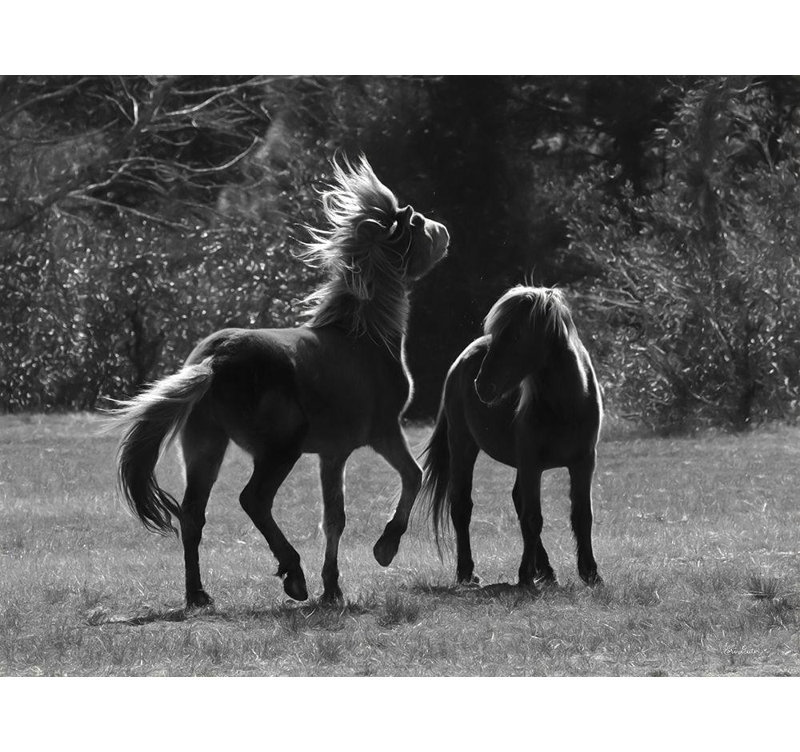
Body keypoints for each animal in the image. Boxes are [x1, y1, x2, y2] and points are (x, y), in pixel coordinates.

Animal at [113, 156, 450, 608]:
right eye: (417, 223)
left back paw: (198, 594)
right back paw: (292, 574)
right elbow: (412, 477)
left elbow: (334, 518)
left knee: (192, 514)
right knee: (253, 500)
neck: (363, 335)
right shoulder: (384, 432)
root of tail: (217, 359)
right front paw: (385, 546)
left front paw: (333, 587)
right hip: (278, 451)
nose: (443, 231)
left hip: (206, 448)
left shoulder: (333, 453)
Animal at [419, 285, 603, 590]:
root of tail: (460, 361)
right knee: (462, 505)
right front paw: (525, 575)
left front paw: (590, 572)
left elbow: (582, 516)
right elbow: (533, 518)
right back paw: (467, 571)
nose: (482, 385)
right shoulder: (531, 465)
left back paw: (547, 571)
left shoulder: (583, 463)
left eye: (516, 336)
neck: (565, 406)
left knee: (518, 500)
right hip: (463, 446)